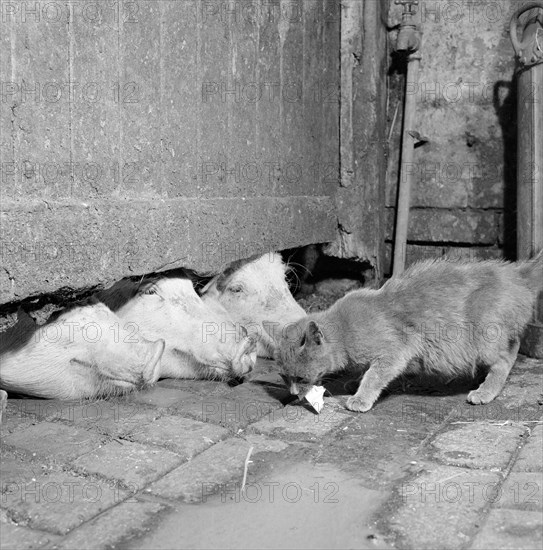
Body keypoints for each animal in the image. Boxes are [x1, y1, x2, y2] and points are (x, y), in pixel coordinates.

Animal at [276, 252, 543, 412]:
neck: (344, 328)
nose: (293, 394)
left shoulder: (397, 351)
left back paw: (485, 391)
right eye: (284, 378)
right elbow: (365, 371)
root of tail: (517, 273)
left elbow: (374, 375)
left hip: (484, 339)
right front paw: (355, 381)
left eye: (300, 378)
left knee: (507, 356)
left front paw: (361, 398)